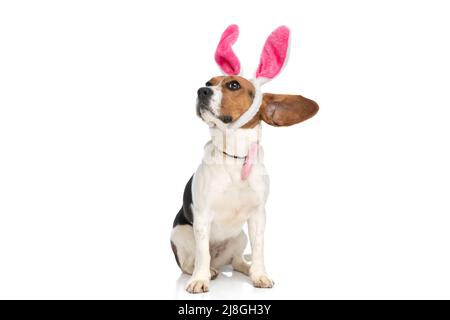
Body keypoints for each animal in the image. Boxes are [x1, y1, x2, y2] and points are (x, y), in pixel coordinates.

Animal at [171, 25, 318, 296]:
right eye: (208, 83)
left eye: (233, 84)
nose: (201, 90)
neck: (236, 157)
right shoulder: (202, 217)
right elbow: (202, 253)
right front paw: (199, 279)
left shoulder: (258, 216)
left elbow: (259, 250)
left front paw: (259, 275)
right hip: (181, 233)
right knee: (193, 261)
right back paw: (208, 272)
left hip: (240, 237)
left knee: (237, 260)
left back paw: (243, 269)